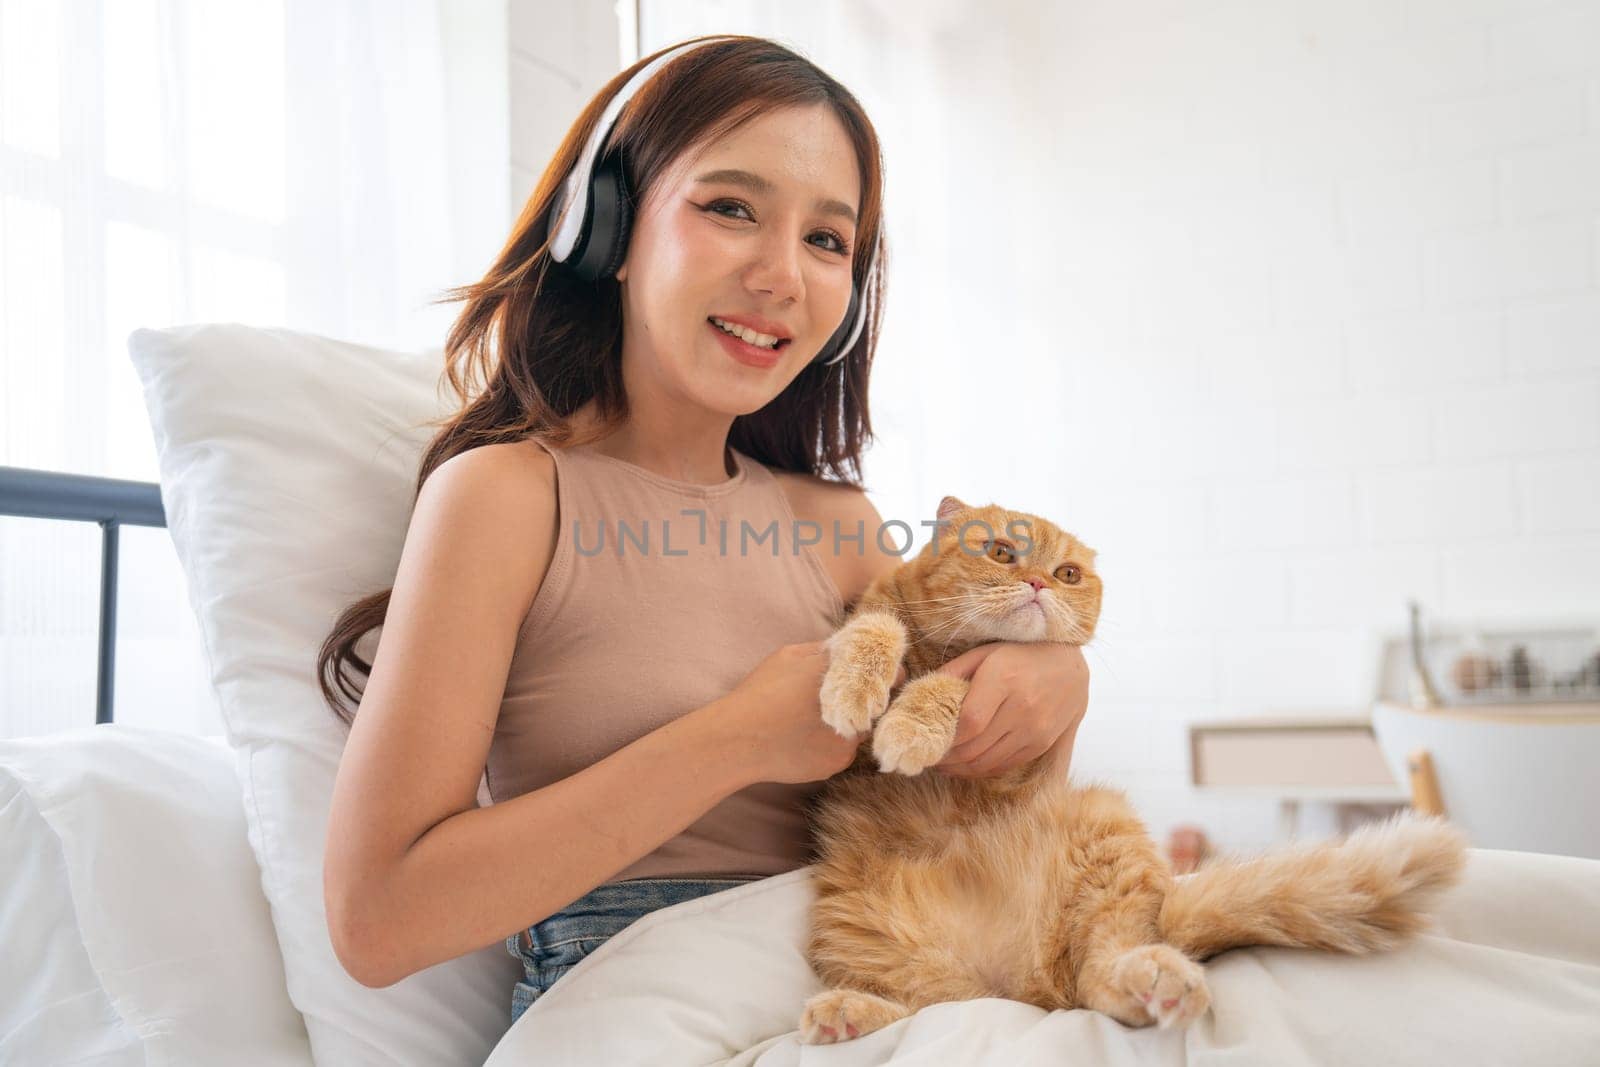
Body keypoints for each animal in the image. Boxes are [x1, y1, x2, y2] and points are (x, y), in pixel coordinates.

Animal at [806, 499, 1465, 1043]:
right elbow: (874, 628)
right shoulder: (878, 623)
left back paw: (1153, 980)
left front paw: (910, 726)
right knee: (929, 1006)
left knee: (1098, 974)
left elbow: (946, 686)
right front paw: (852, 692)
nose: (1038, 582)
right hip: (869, 940)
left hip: (1107, 843)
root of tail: (1024, 987)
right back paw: (847, 1012)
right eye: (1001, 553)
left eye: (1068, 574)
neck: (949, 648)